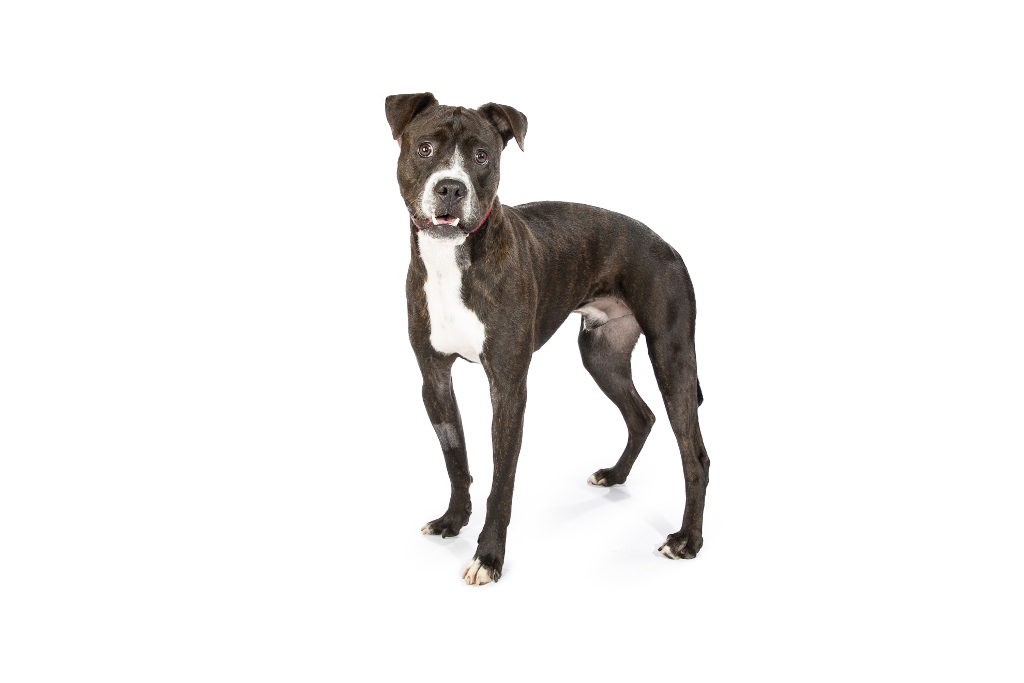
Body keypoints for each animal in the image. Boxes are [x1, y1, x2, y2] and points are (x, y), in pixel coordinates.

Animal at [386, 93, 710, 584]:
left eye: (482, 156)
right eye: (424, 149)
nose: (451, 188)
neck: (451, 259)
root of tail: (667, 245)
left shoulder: (508, 387)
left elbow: (502, 480)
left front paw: (489, 556)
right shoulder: (435, 378)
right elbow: (456, 459)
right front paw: (453, 521)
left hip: (672, 358)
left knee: (694, 455)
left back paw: (687, 540)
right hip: (601, 354)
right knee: (641, 416)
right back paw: (614, 475)